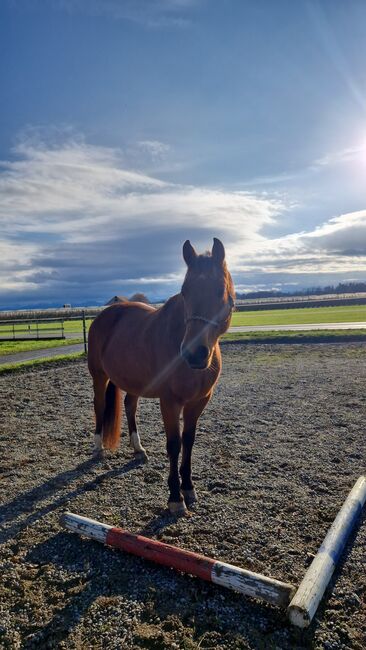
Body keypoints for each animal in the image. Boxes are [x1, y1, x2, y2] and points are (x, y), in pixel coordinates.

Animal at [89, 237, 236, 512]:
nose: (194, 354)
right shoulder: (170, 402)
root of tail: (106, 313)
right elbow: (174, 444)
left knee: (129, 405)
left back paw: (138, 449)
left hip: (133, 381)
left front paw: (188, 488)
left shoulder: (199, 401)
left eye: (220, 290)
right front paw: (175, 498)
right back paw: (98, 448)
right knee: (99, 406)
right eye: (185, 291)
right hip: (98, 376)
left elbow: (188, 441)